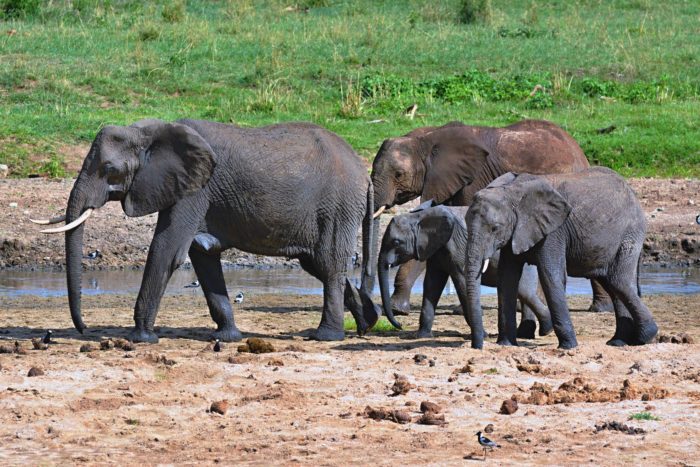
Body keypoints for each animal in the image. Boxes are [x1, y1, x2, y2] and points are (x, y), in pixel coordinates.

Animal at [34, 119, 380, 342]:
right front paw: (228, 337)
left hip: (337, 206)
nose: (83, 330)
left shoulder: (195, 190)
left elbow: (168, 251)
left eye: (109, 169)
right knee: (317, 264)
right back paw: (367, 324)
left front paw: (141, 338)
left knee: (329, 264)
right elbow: (203, 257)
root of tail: (364, 172)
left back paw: (326, 337)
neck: (148, 131)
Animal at [378, 201, 552, 340]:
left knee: (524, 291)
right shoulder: (435, 249)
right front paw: (421, 337)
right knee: (523, 292)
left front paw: (482, 336)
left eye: (396, 242)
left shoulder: (458, 246)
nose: (400, 325)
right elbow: (432, 284)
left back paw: (545, 331)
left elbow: (461, 283)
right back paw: (529, 334)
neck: (419, 216)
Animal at [464, 166, 656, 350]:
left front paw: (568, 347)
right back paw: (618, 342)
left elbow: (551, 276)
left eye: (495, 228)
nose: (477, 347)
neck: (510, 191)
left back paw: (644, 337)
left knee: (618, 280)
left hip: (630, 232)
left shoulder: (554, 231)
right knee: (612, 283)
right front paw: (506, 344)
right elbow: (506, 278)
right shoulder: (516, 233)